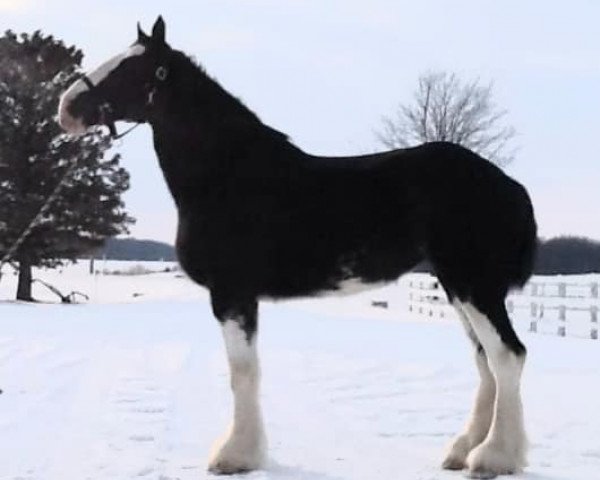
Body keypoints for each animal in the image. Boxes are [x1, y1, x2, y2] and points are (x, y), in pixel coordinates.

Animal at [59, 16, 540, 478]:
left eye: (131, 69)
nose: (66, 109)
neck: (226, 174)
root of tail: (510, 186)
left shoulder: (232, 294)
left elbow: (243, 373)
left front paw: (236, 456)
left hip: (474, 284)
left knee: (506, 356)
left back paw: (493, 458)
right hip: (457, 285)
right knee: (485, 361)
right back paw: (464, 450)